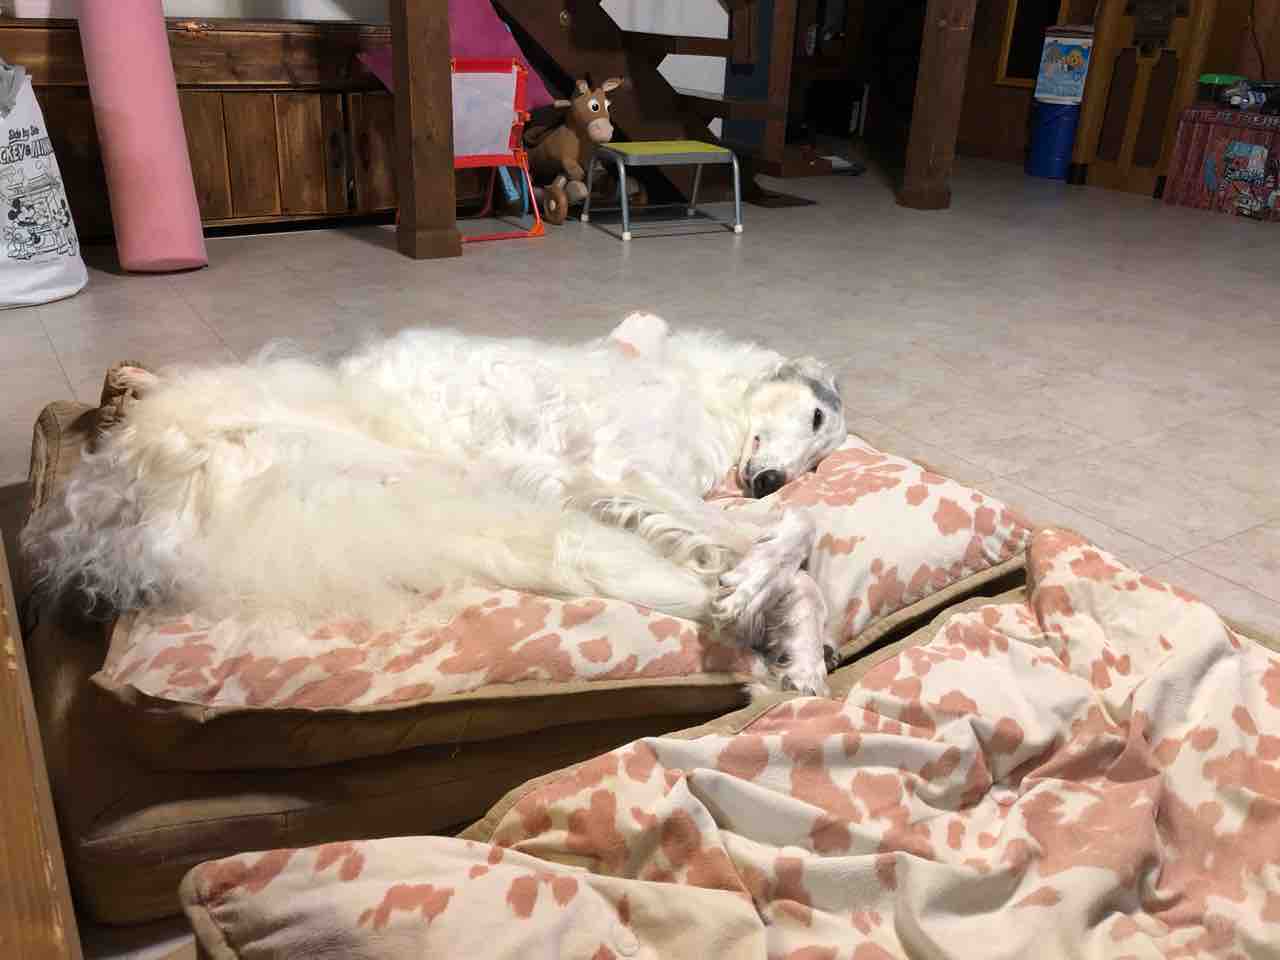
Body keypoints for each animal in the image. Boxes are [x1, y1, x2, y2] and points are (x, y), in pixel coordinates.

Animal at [22, 313, 848, 693]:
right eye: (815, 419)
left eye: (823, 452)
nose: (772, 479)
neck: (698, 387)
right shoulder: (627, 468)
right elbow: (800, 530)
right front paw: (762, 573)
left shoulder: (624, 488)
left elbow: (781, 538)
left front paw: (775, 604)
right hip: (505, 523)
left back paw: (796, 653)